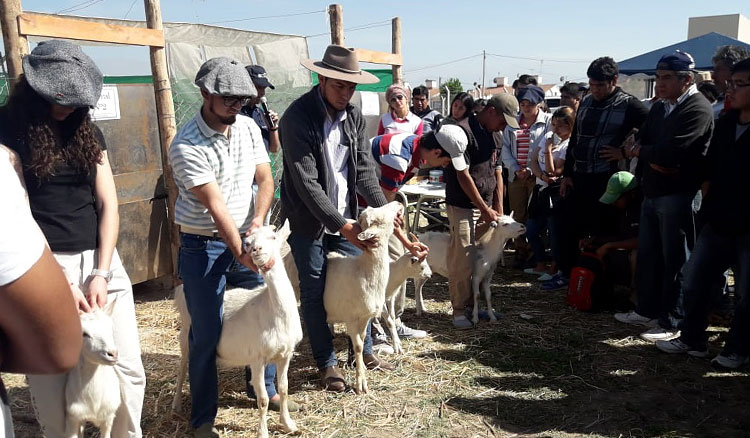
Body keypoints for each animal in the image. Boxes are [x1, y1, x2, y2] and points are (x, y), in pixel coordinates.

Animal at [175, 226, 304, 438]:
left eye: (273, 236)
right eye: (248, 243)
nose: (257, 249)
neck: (274, 311)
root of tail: (179, 292)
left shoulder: (286, 354)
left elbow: (284, 389)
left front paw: (288, 424)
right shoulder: (257, 358)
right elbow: (263, 400)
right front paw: (263, 433)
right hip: (186, 338)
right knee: (183, 368)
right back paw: (176, 406)